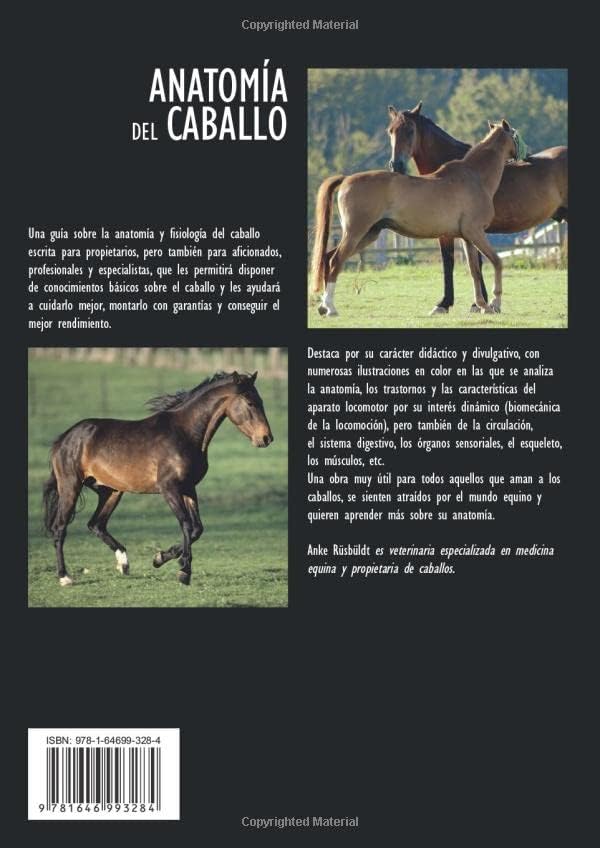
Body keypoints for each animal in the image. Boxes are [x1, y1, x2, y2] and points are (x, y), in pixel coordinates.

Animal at [42, 370, 274, 587]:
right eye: (250, 403)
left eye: (261, 401)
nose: (266, 438)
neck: (184, 434)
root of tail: (64, 438)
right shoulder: (169, 489)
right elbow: (186, 525)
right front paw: (184, 572)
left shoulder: (188, 488)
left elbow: (197, 528)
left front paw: (160, 558)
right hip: (70, 487)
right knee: (60, 528)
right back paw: (64, 577)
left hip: (111, 491)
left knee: (96, 524)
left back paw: (124, 564)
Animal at [312, 120, 520, 318]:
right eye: (515, 135)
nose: (523, 157)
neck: (475, 177)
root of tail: (346, 179)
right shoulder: (476, 233)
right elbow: (497, 262)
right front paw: (494, 303)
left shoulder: (467, 237)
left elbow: (474, 270)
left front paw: (482, 305)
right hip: (355, 233)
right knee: (335, 261)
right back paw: (330, 308)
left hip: (368, 234)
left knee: (328, 258)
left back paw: (323, 306)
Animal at [387, 102, 568, 313]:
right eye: (390, 131)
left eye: (410, 130)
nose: (396, 165)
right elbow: (472, 265)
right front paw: (479, 302)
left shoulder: (454, 232)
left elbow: (452, 262)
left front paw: (447, 304)